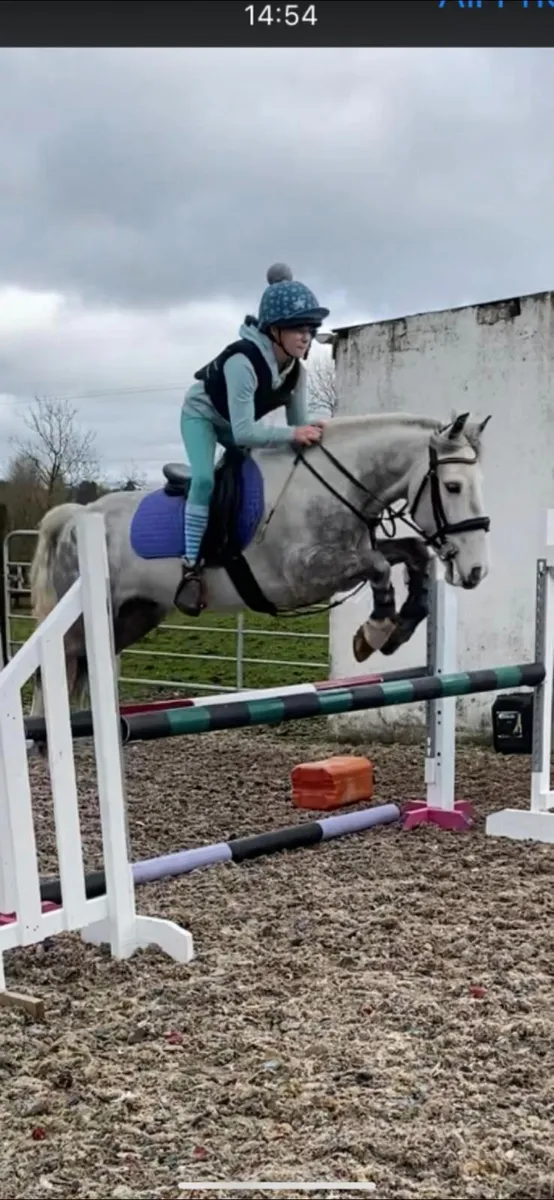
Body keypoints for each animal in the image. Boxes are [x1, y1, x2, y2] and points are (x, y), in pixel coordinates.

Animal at [28, 410, 491, 716]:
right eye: (452, 486)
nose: (475, 572)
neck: (333, 485)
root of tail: (76, 516)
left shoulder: (352, 554)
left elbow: (413, 554)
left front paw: (401, 626)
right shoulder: (304, 575)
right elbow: (379, 566)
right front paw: (374, 633)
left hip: (135, 615)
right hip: (81, 620)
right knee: (51, 671)